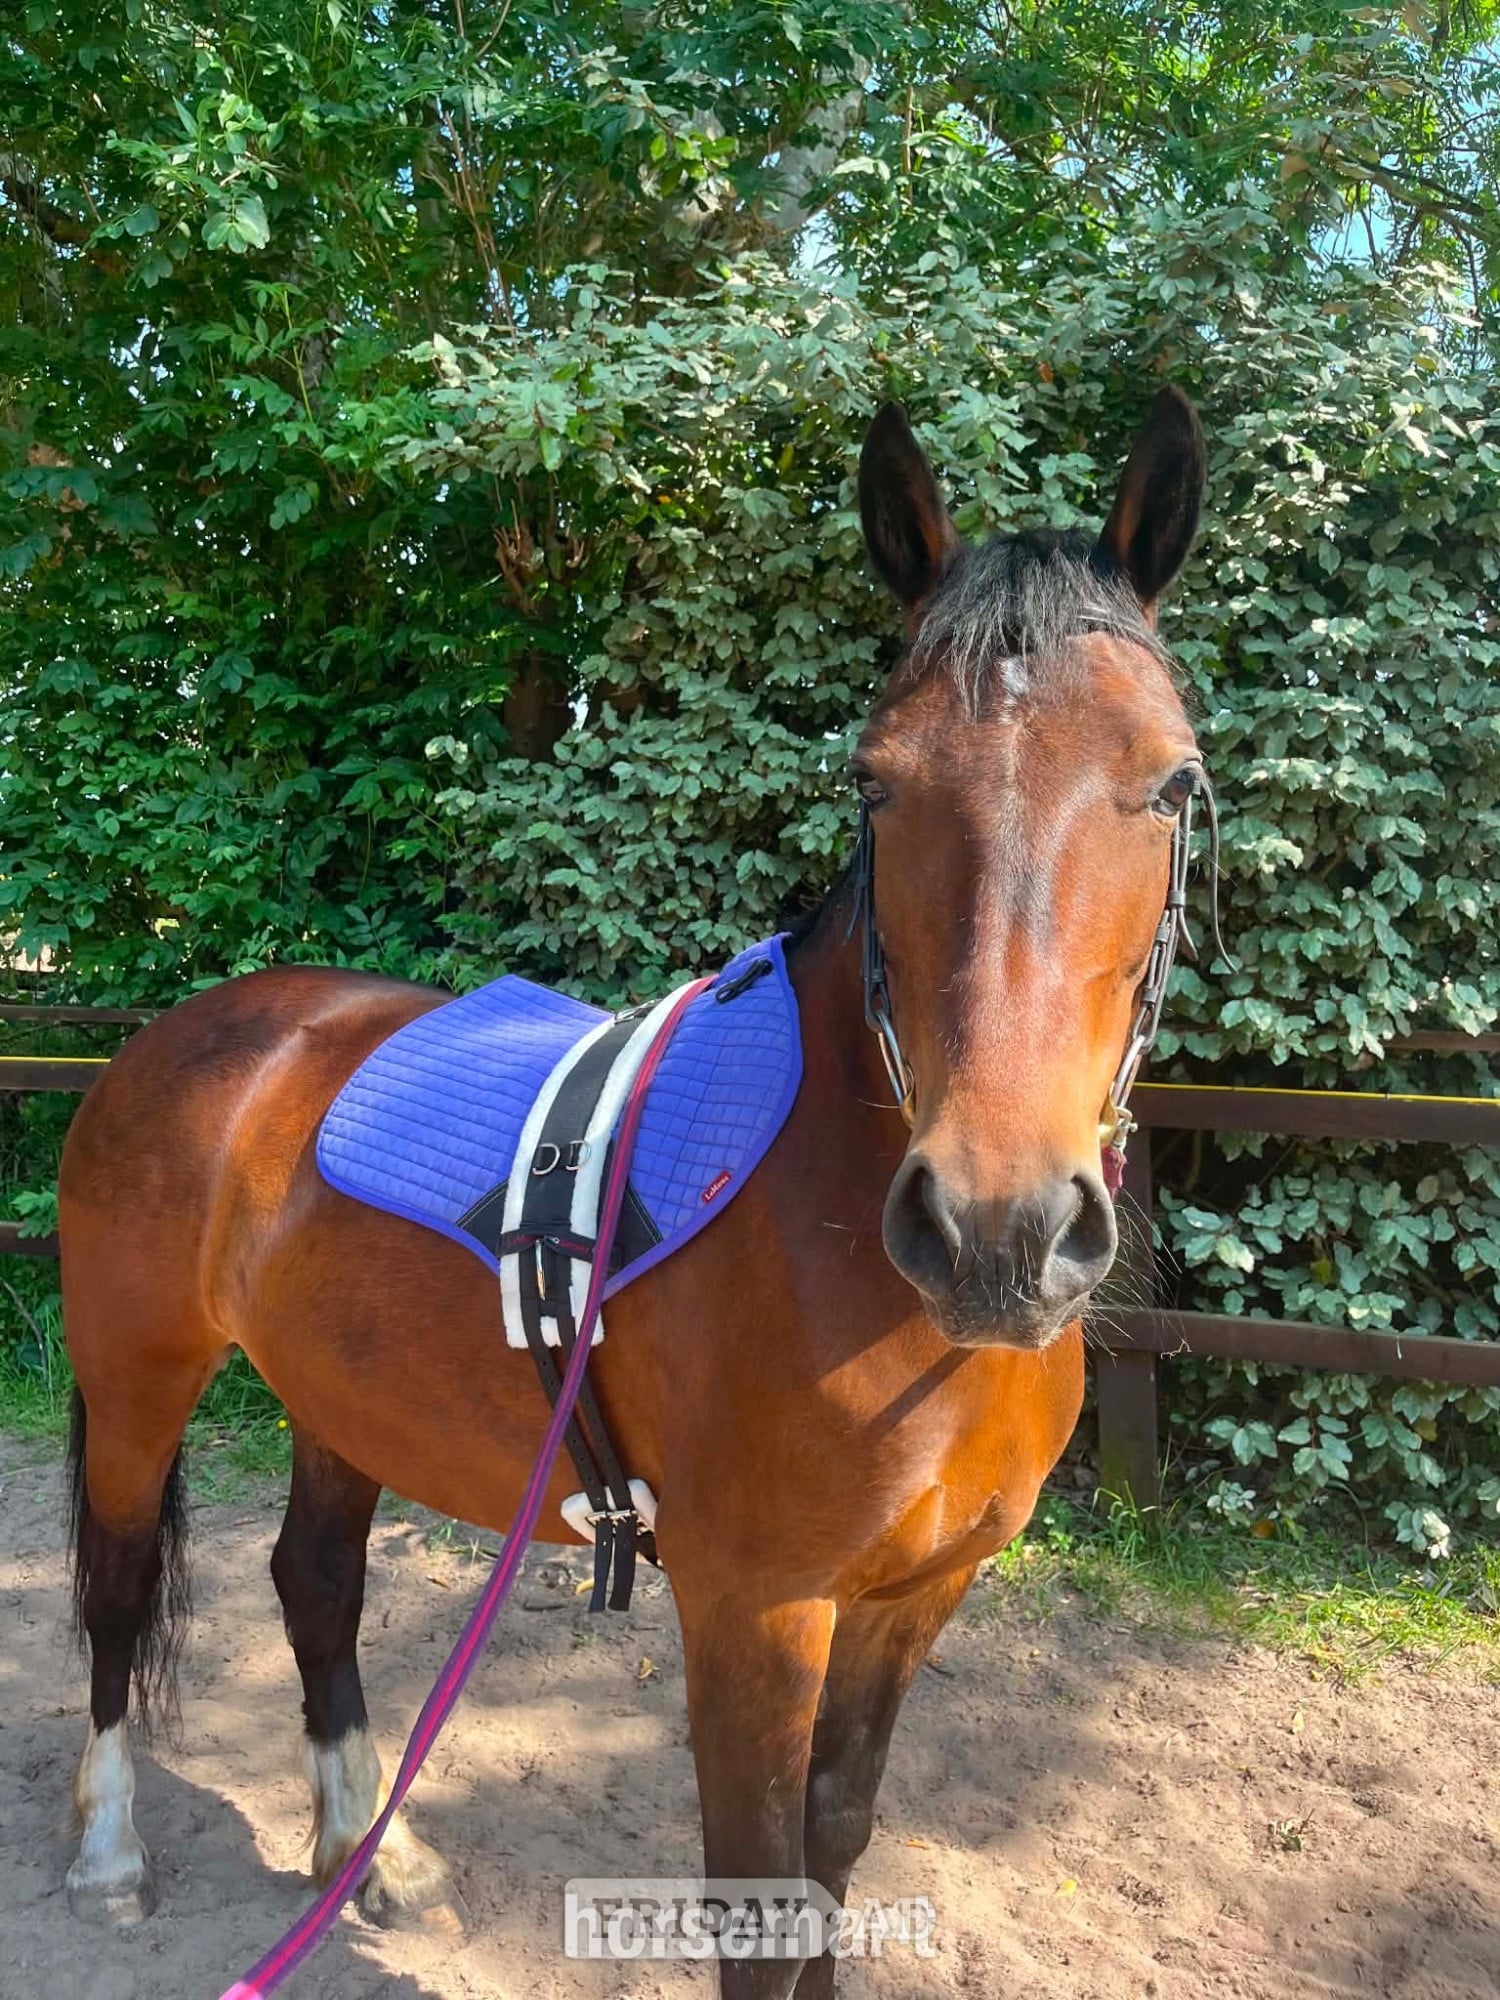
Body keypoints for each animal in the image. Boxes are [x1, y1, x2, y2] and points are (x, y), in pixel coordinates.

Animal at [59, 381, 1209, 1997]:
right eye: (875, 781)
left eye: (1171, 781)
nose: (999, 1228)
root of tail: (192, 1031)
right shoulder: (752, 1610)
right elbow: (761, 1900)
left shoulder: (910, 1601)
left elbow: (833, 1853)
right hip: (140, 1374)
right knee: (113, 1590)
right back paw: (110, 1857)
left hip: (338, 1394)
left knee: (315, 1582)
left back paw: (369, 1855)